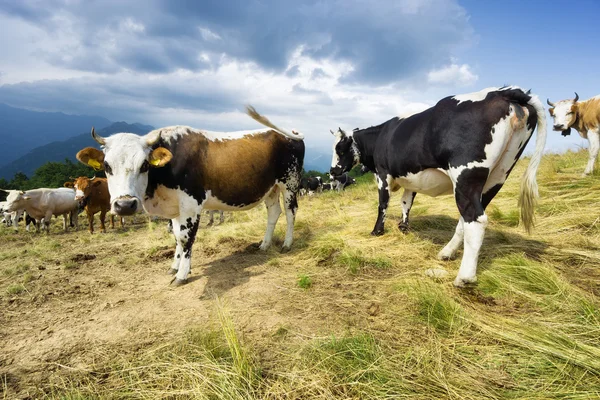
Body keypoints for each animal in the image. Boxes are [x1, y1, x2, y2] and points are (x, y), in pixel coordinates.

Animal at [77, 104, 304, 284]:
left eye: (144, 165)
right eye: (107, 166)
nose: (125, 206)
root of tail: (286, 132)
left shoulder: (191, 203)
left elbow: (186, 237)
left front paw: (182, 274)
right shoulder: (176, 207)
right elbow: (176, 236)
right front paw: (174, 266)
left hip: (290, 183)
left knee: (291, 212)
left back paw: (287, 244)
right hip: (271, 188)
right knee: (273, 213)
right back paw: (264, 245)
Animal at [330, 86, 548, 288]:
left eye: (339, 149)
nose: (332, 171)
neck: (380, 136)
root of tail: (504, 91)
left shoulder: (383, 174)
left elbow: (383, 205)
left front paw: (377, 231)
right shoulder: (411, 178)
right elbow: (406, 203)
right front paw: (403, 226)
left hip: (466, 174)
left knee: (475, 219)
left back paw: (464, 277)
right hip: (498, 176)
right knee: (466, 218)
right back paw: (446, 252)